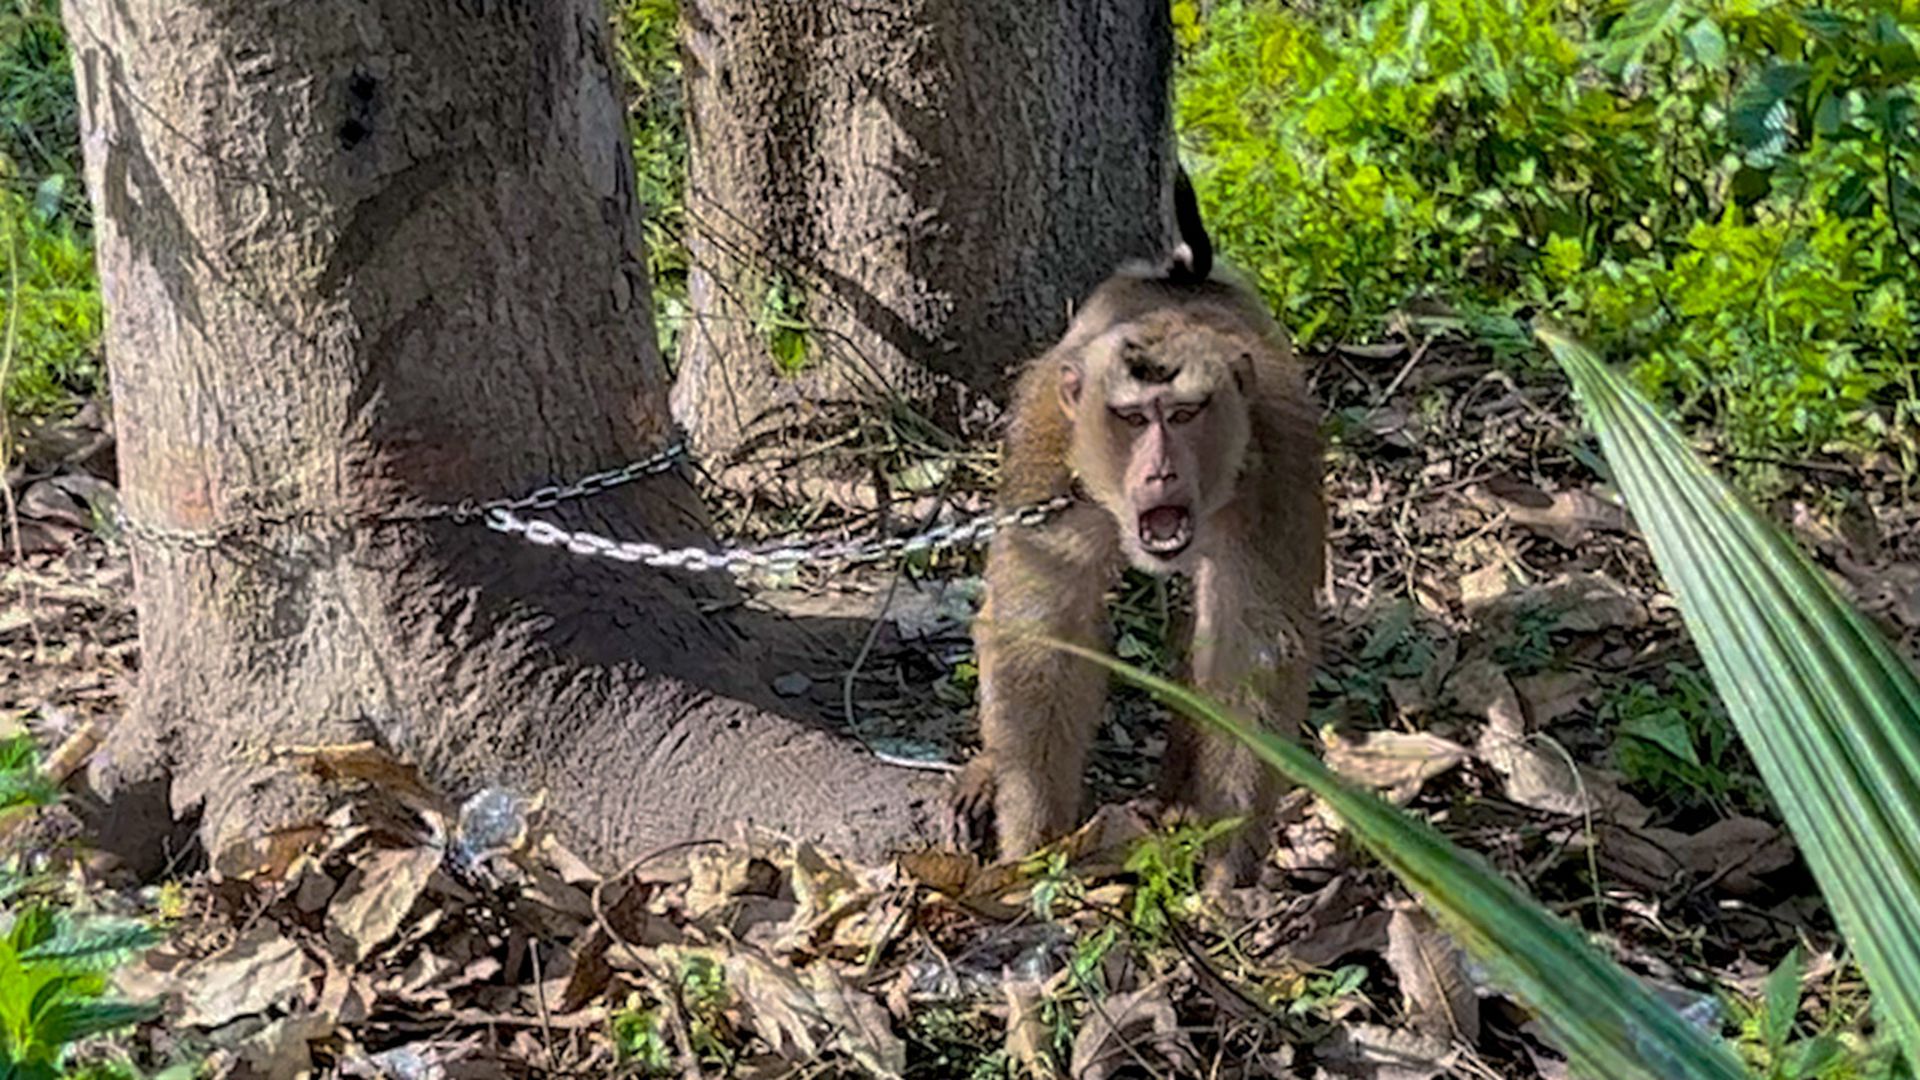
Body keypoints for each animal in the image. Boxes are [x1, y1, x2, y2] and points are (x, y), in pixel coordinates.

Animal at [954, 169, 1323, 888]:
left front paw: (1228, 869)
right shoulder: (1049, 451)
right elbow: (1042, 629)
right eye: (1130, 418)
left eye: (1184, 414)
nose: (1158, 473)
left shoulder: (1279, 465)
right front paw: (1032, 847)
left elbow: (1250, 649)